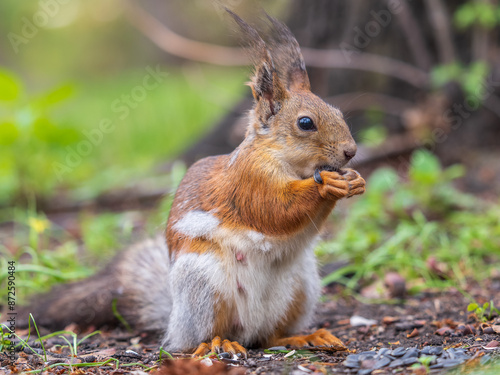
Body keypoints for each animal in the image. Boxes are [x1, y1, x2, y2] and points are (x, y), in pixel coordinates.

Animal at [17, 12, 366, 358]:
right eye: (305, 123)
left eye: (338, 112)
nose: (351, 151)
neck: (293, 165)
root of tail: (175, 321)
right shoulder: (249, 181)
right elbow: (274, 209)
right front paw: (327, 184)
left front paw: (355, 181)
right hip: (204, 284)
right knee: (204, 336)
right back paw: (218, 343)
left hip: (300, 286)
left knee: (271, 337)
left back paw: (305, 337)